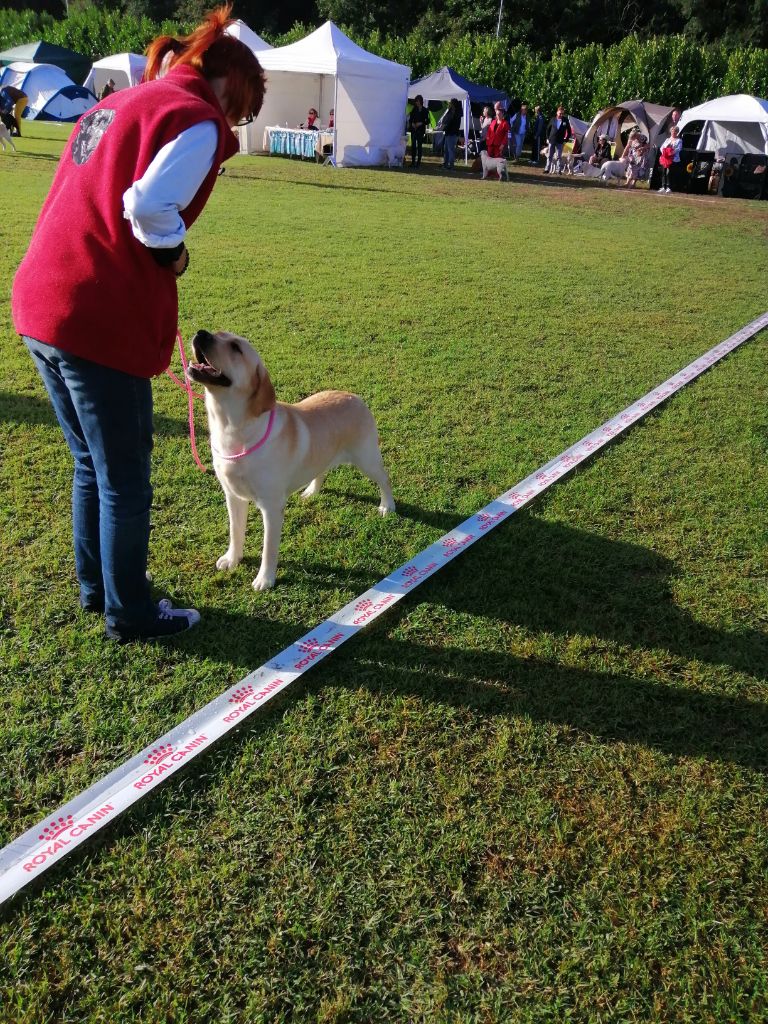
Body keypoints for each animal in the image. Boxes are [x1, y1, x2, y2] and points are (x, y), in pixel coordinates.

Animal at [188, 331, 397, 593]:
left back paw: (387, 505)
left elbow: (269, 549)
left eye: (236, 347)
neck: (233, 430)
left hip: (366, 458)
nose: (201, 333)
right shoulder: (233, 496)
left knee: (385, 479)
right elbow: (235, 532)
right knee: (321, 470)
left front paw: (265, 579)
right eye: (218, 333)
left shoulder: (272, 506)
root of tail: (355, 397)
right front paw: (232, 558)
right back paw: (311, 491)